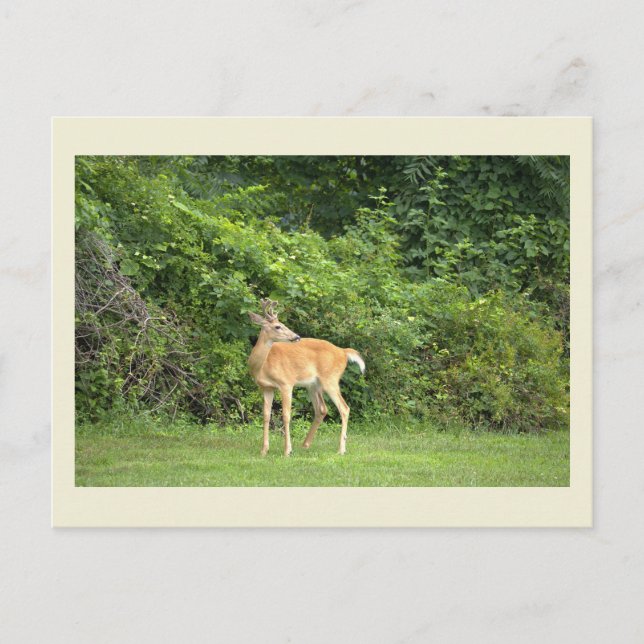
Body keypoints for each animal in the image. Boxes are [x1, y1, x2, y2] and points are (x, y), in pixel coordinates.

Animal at [247, 299, 365, 457]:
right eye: (278, 326)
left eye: (283, 324)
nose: (296, 337)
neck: (262, 366)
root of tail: (343, 352)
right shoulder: (266, 387)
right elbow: (266, 415)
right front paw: (264, 450)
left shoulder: (286, 383)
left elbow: (286, 415)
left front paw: (287, 451)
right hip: (313, 385)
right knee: (322, 409)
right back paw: (305, 445)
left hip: (330, 379)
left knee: (344, 408)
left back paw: (341, 449)